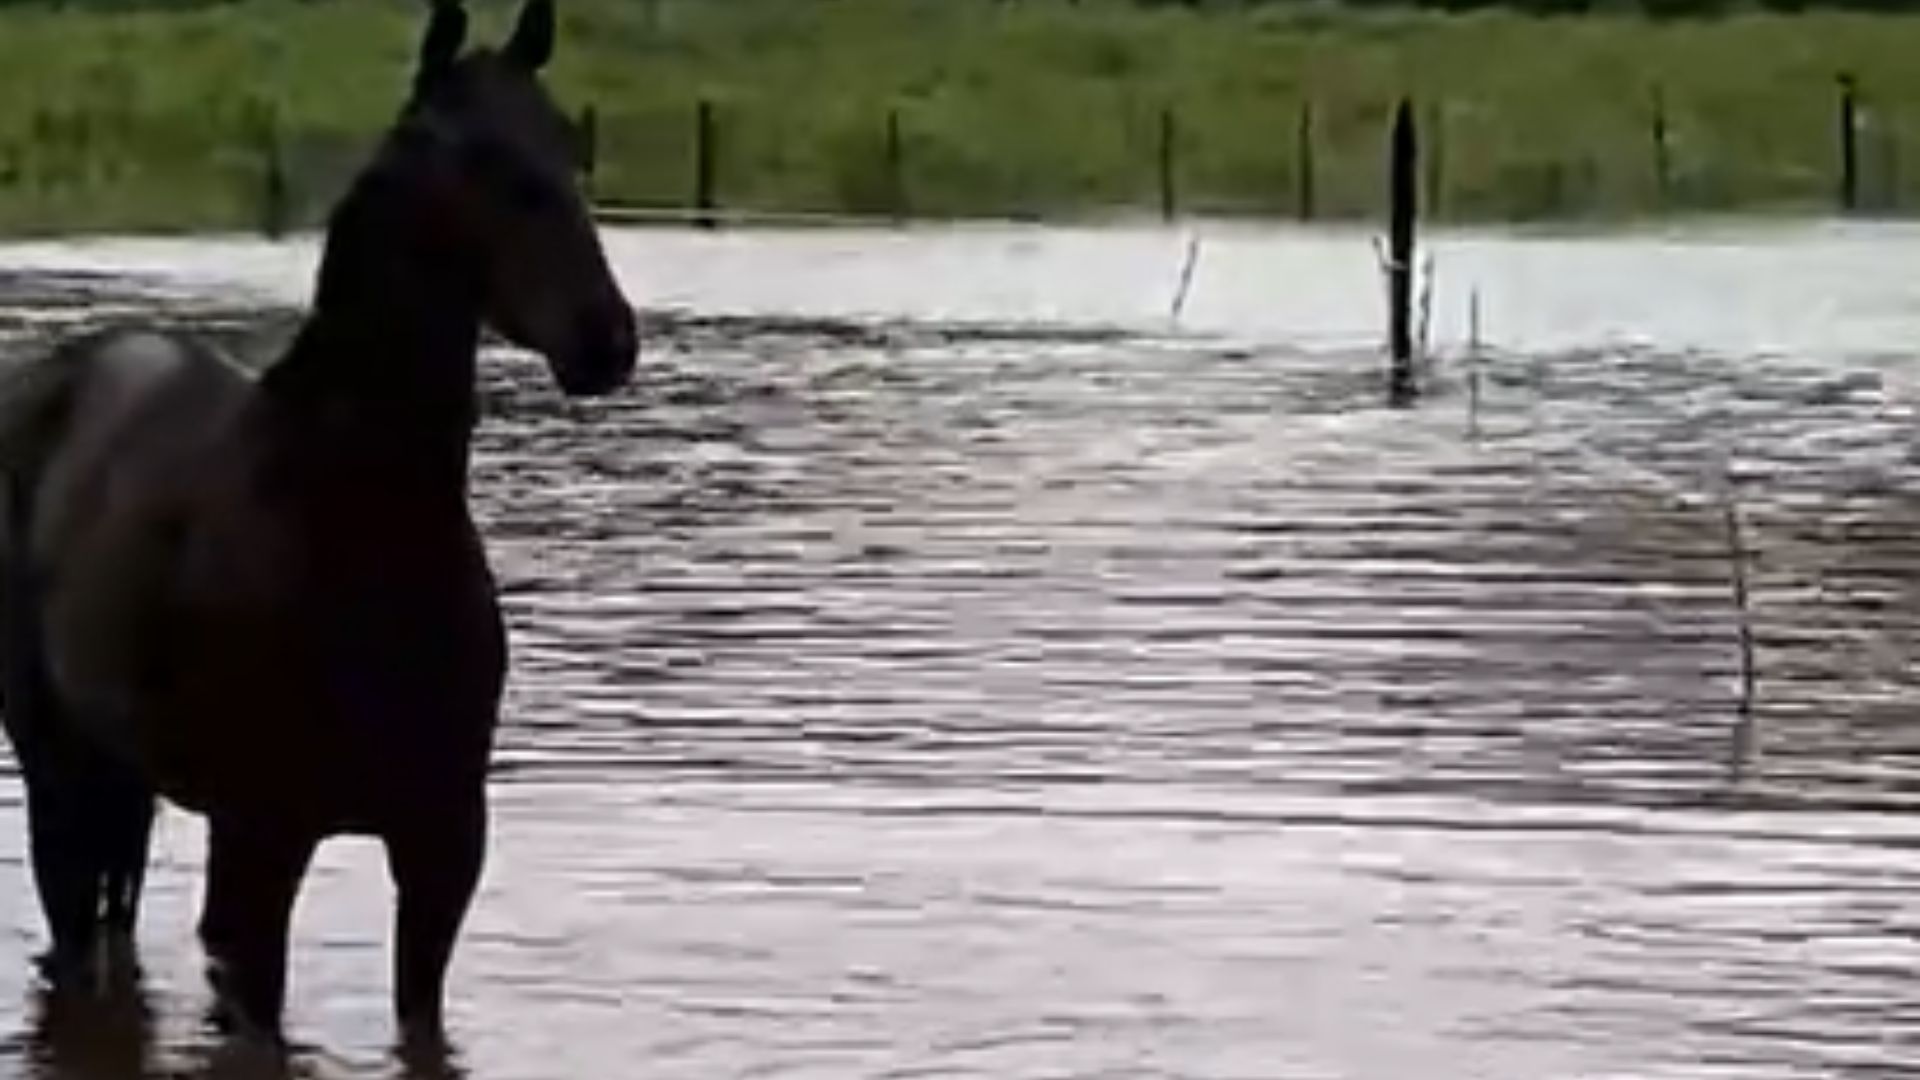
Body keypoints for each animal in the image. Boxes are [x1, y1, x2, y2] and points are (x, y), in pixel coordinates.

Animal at [0, 0, 635, 1049]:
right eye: (469, 157)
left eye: (570, 148)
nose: (606, 340)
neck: (352, 523)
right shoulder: (264, 842)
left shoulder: (441, 849)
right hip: (59, 772)